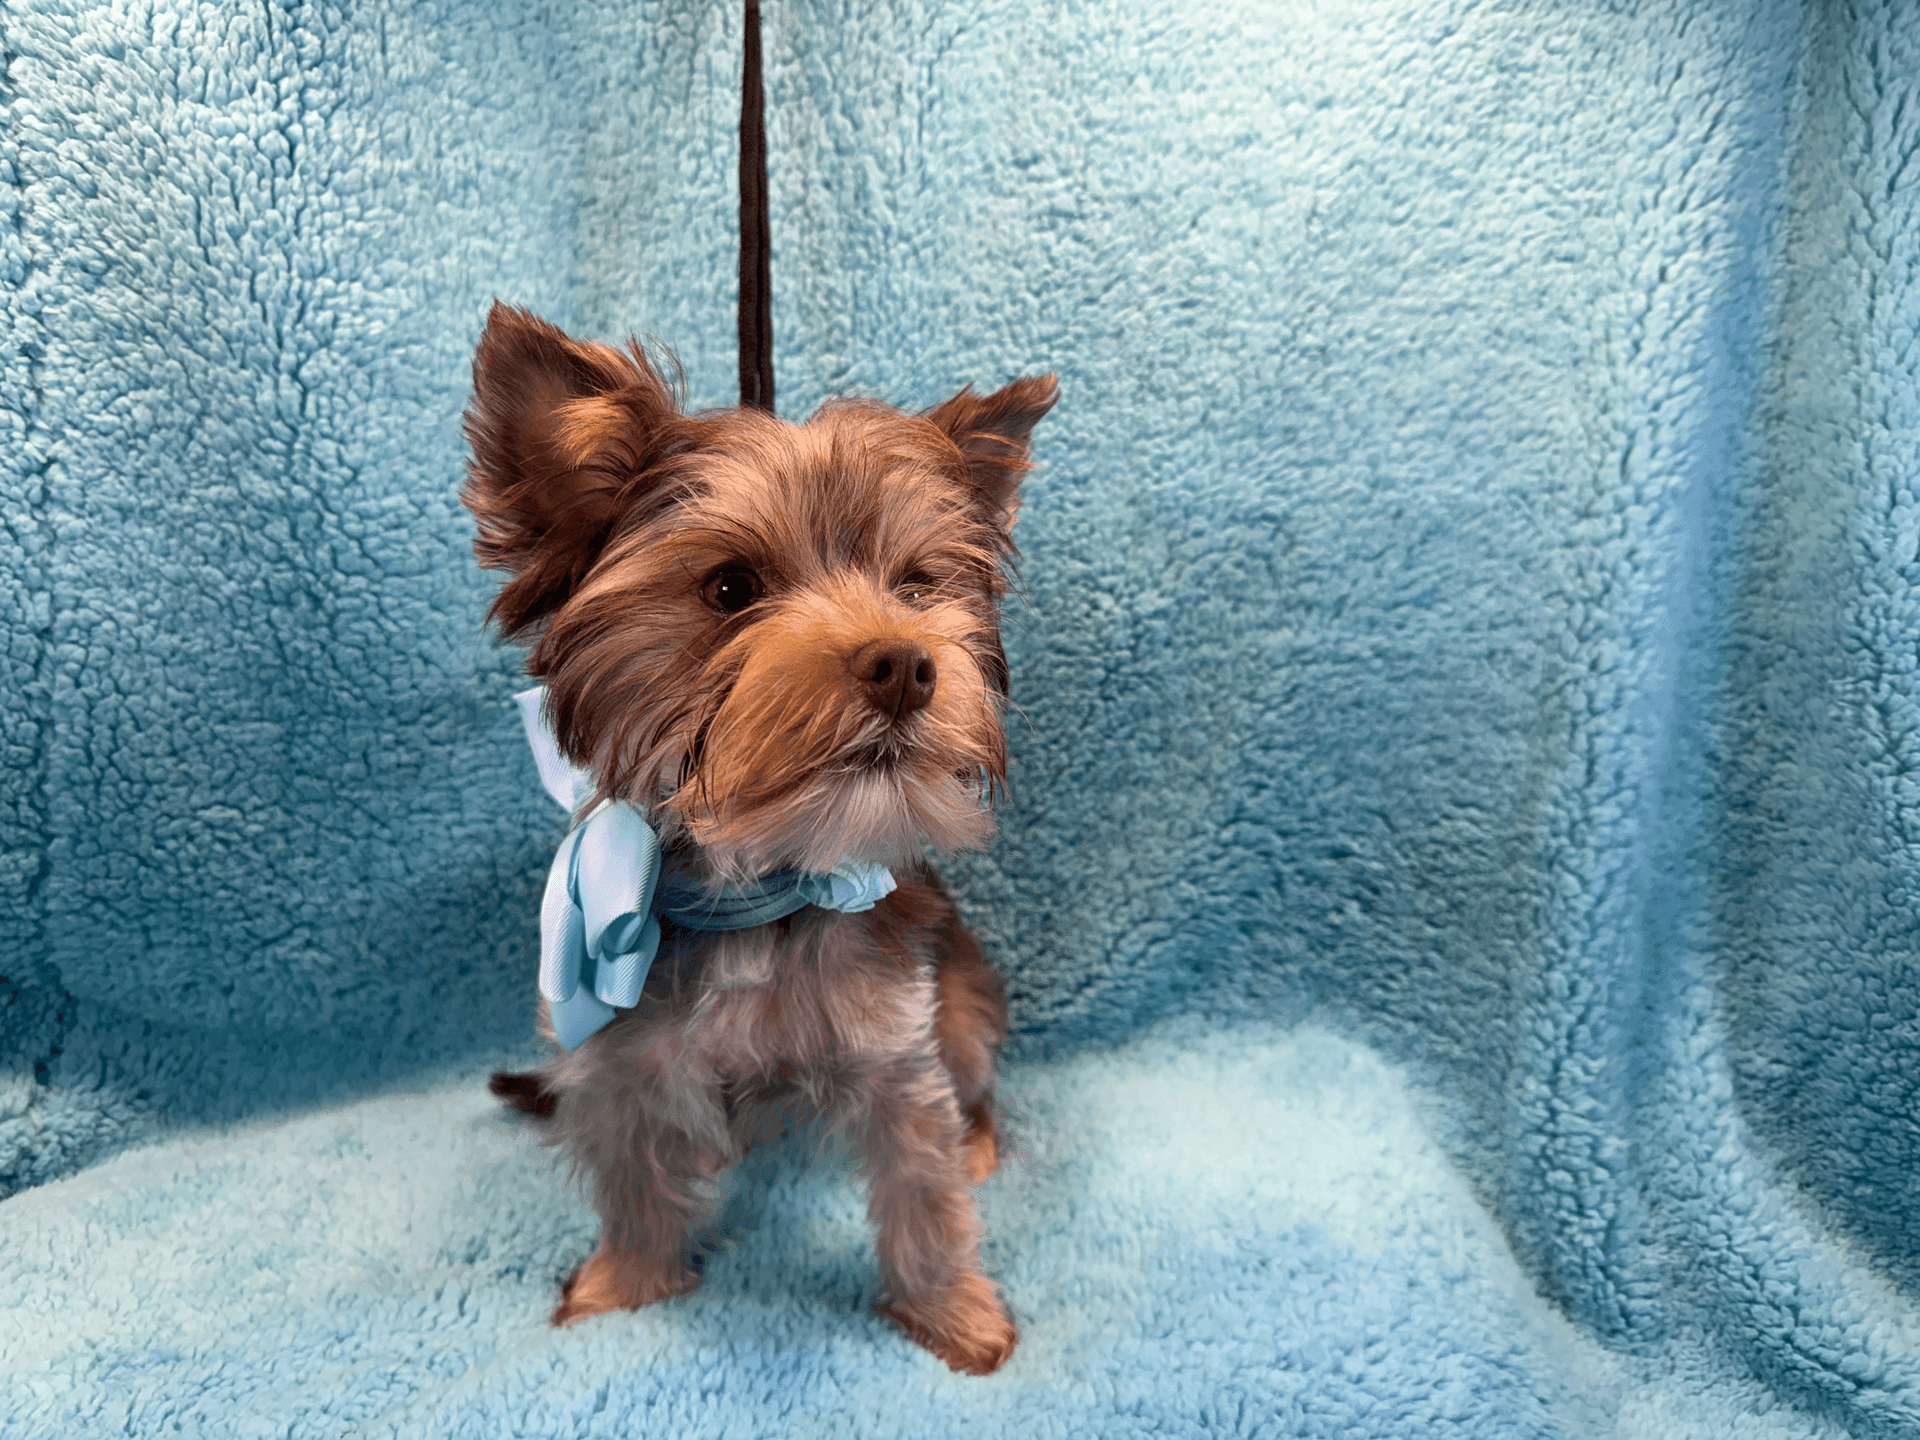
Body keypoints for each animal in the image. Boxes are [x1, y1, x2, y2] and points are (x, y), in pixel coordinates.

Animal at [458, 301, 1059, 1374]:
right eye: (731, 588)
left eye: (917, 586)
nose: (907, 663)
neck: (760, 879)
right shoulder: (616, 1052)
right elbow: (632, 1176)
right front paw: (622, 1288)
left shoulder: (896, 1045)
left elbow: (925, 1189)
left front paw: (955, 1316)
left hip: (960, 981)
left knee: (972, 1060)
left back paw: (982, 1139)